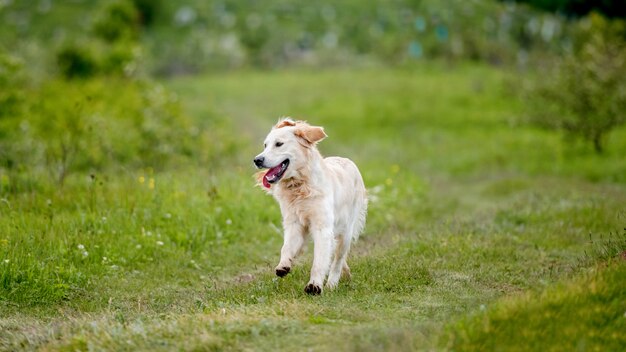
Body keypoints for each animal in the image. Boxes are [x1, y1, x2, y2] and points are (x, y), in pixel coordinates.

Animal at [251, 118, 366, 294]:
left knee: (338, 260)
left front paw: (314, 286)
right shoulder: (294, 224)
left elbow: (319, 261)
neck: (300, 186)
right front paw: (283, 265)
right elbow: (286, 248)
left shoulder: (322, 228)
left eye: (279, 144)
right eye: (265, 145)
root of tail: (349, 161)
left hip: (346, 232)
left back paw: (332, 284)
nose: (257, 160)